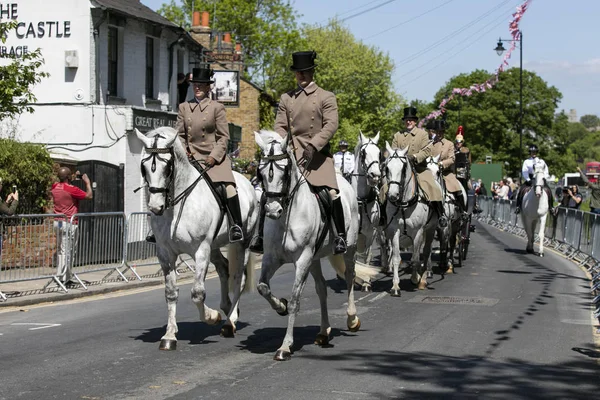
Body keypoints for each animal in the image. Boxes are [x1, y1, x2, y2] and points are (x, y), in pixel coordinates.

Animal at [136, 126, 258, 348]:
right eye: (144, 167)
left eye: (168, 167)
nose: (155, 207)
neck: (176, 206)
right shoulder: (165, 253)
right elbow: (170, 293)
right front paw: (169, 336)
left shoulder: (201, 250)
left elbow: (197, 293)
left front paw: (212, 317)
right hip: (215, 246)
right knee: (224, 268)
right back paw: (227, 307)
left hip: (242, 243)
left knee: (239, 277)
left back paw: (230, 322)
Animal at [253, 131, 376, 362]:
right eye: (261, 172)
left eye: (285, 171)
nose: (272, 210)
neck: (287, 217)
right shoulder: (272, 258)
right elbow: (263, 287)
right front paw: (280, 306)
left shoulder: (302, 259)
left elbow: (295, 300)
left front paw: (285, 346)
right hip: (315, 258)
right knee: (321, 289)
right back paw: (323, 332)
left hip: (348, 248)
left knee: (350, 276)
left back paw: (352, 319)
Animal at [386, 144, 438, 294]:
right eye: (386, 167)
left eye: (403, 168)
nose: (392, 195)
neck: (404, 203)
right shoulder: (394, 230)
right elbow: (396, 257)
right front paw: (395, 285)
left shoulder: (418, 231)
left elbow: (415, 258)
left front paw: (415, 278)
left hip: (431, 229)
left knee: (426, 252)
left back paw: (424, 278)